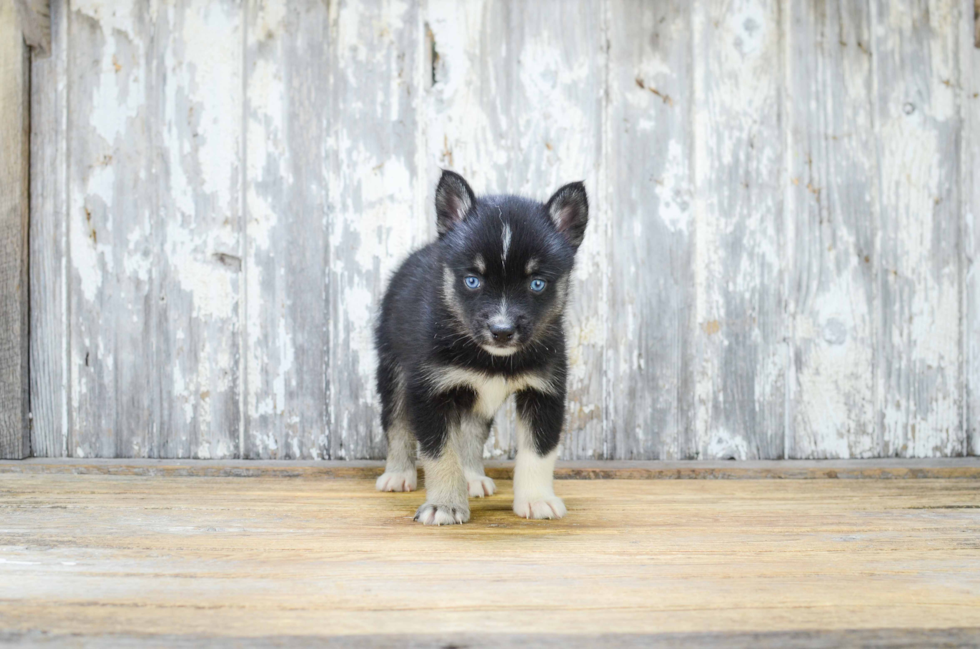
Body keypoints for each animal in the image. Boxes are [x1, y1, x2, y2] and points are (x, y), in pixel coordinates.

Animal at [376, 170, 588, 524]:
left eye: (537, 283)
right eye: (472, 281)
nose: (501, 332)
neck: (492, 359)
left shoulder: (545, 391)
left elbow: (538, 451)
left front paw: (536, 499)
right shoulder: (430, 390)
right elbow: (440, 453)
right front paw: (445, 505)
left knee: (471, 433)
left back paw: (473, 477)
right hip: (392, 368)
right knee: (397, 423)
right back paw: (398, 474)